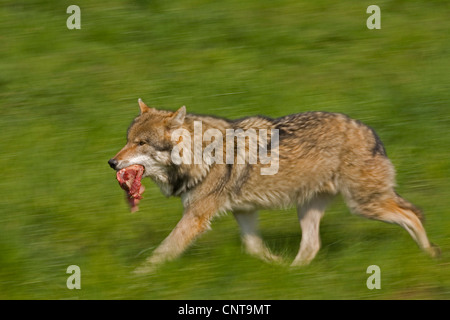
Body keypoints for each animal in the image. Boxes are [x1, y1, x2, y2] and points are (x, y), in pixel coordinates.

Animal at [108, 99, 440, 272]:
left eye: (141, 143)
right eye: (127, 140)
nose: (111, 162)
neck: (201, 155)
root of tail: (371, 132)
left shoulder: (196, 218)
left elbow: (161, 253)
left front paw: (137, 279)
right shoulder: (244, 212)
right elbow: (254, 248)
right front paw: (277, 267)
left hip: (364, 206)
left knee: (411, 217)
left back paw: (430, 254)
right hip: (310, 210)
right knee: (311, 246)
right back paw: (294, 275)